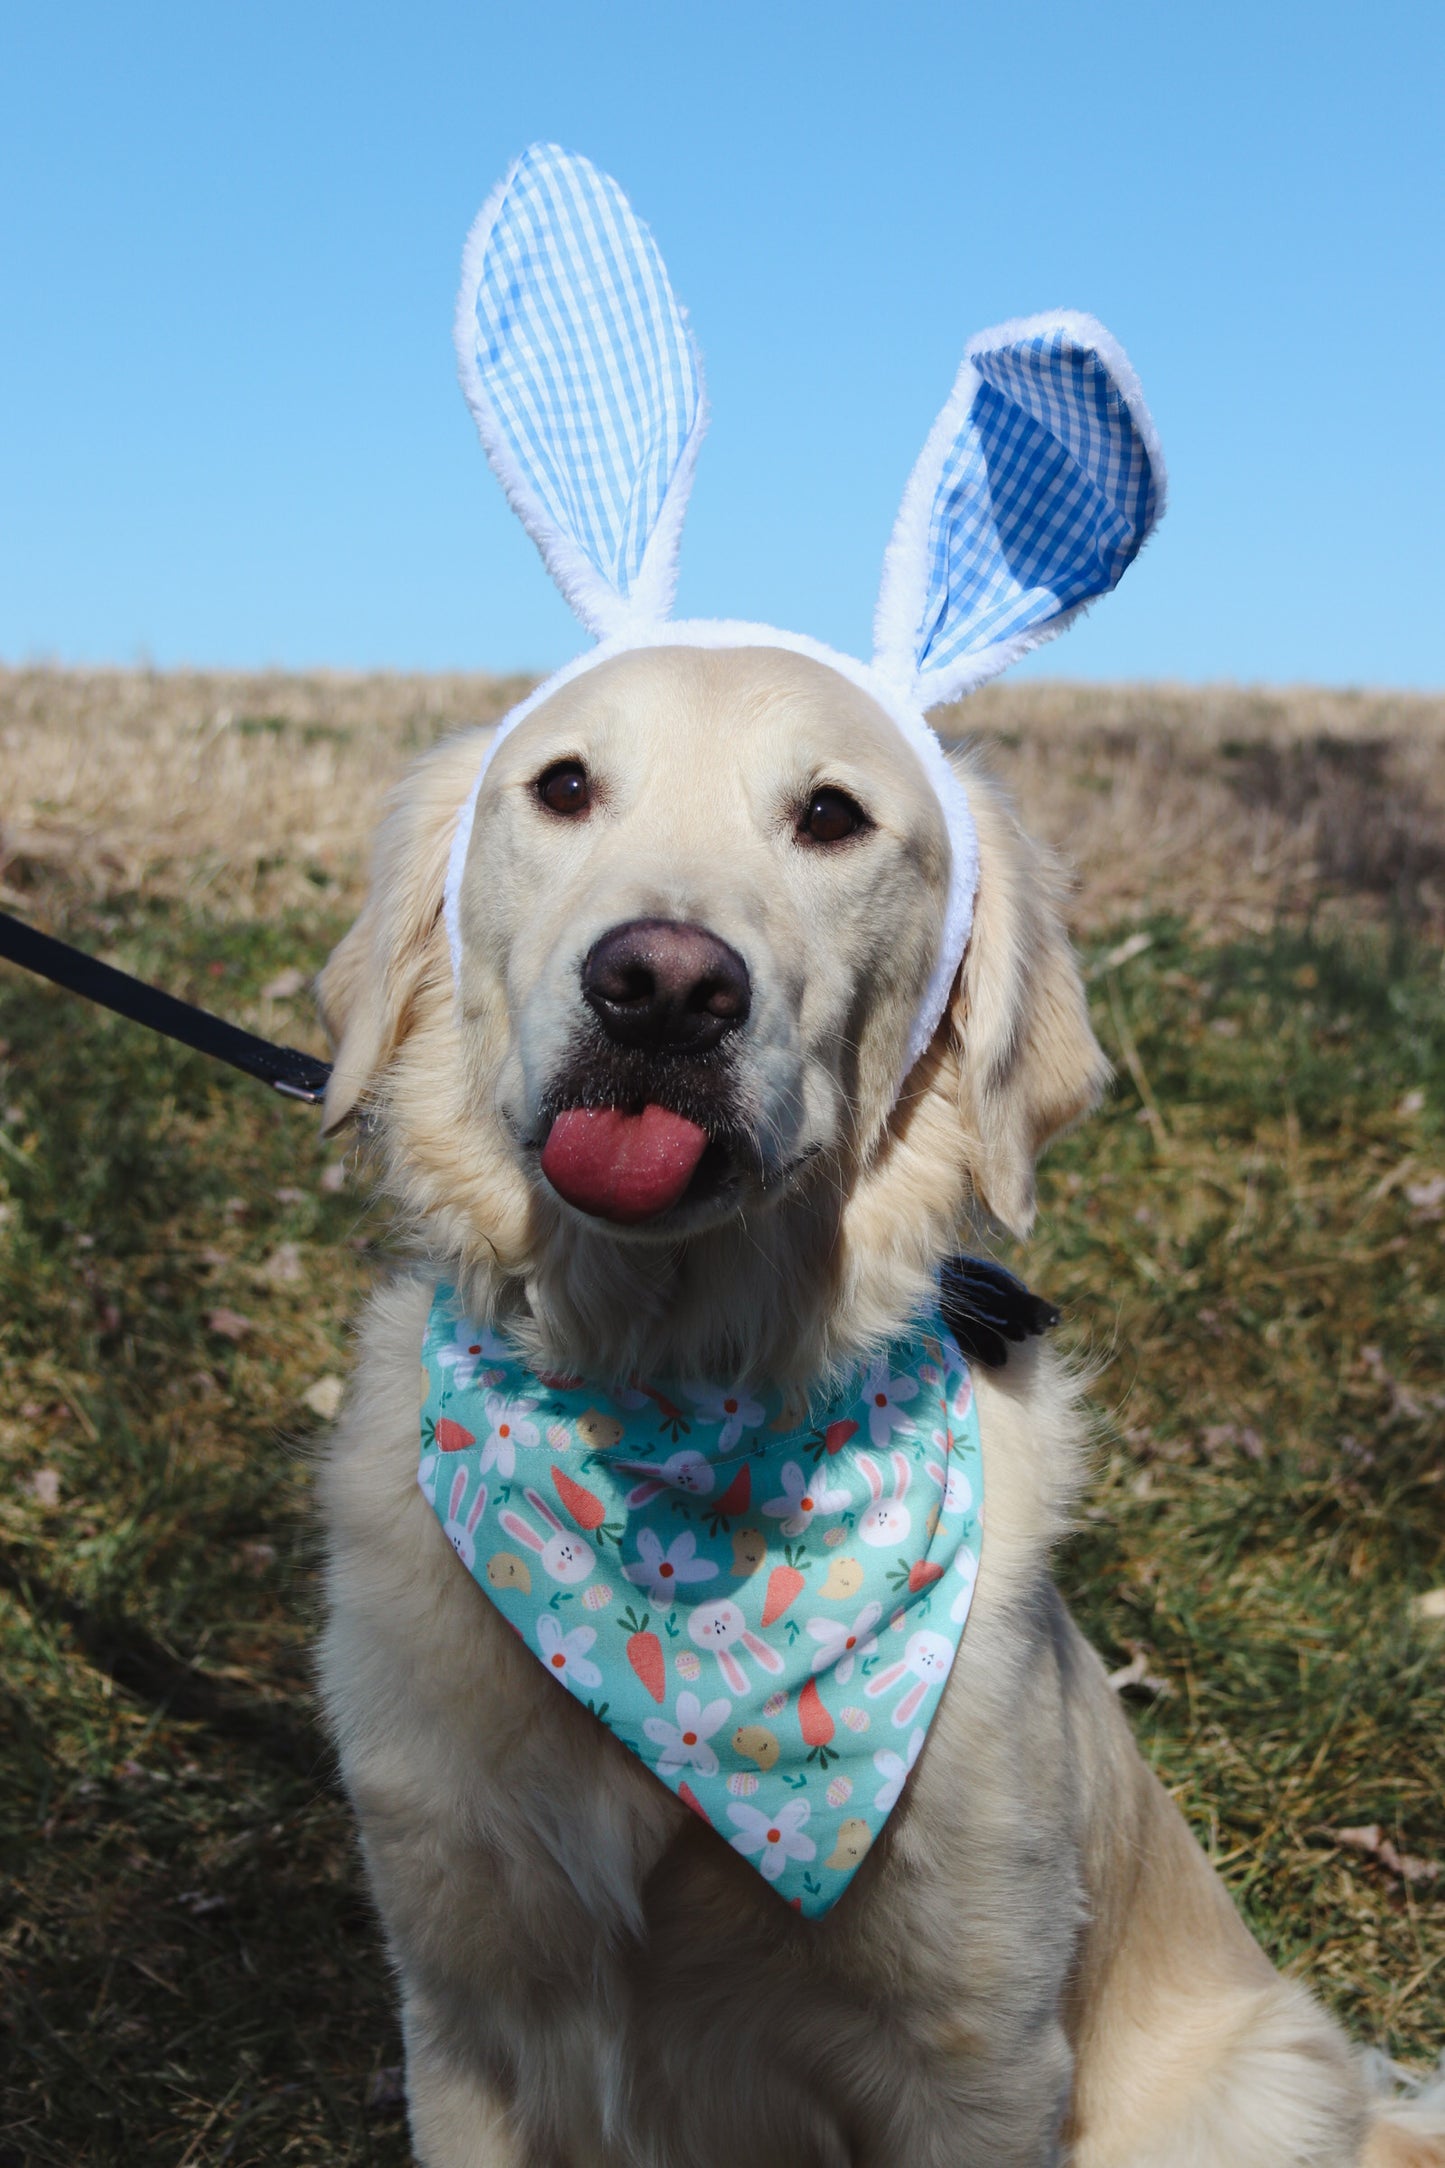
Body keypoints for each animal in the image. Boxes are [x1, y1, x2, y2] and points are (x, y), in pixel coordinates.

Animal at [311, 633, 1438, 2159]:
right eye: (561, 787)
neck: (674, 1421)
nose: (660, 986)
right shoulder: (462, 2008)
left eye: (830, 815)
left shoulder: (974, 2051)